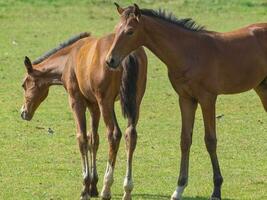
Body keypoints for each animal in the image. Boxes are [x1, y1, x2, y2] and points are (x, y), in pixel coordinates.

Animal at [19, 32, 148, 199]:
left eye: (24, 84)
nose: (23, 112)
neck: (69, 59)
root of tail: (128, 52)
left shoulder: (76, 101)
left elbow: (82, 138)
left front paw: (85, 187)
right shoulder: (94, 106)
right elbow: (94, 139)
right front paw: (93, 185)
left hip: (105, 103)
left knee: (114, 135)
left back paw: (107, 188)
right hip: (134, 103)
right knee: (130, 135)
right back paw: (127, 189)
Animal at [105, 3, 267, 200]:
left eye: (130, 31)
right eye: (115, 29)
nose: (110, 60)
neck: (189, 52)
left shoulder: (207, 98)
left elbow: (210, 140)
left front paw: (216, 189)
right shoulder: (186, 99)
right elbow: (185, 140)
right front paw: (179, 188)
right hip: (262, 88)